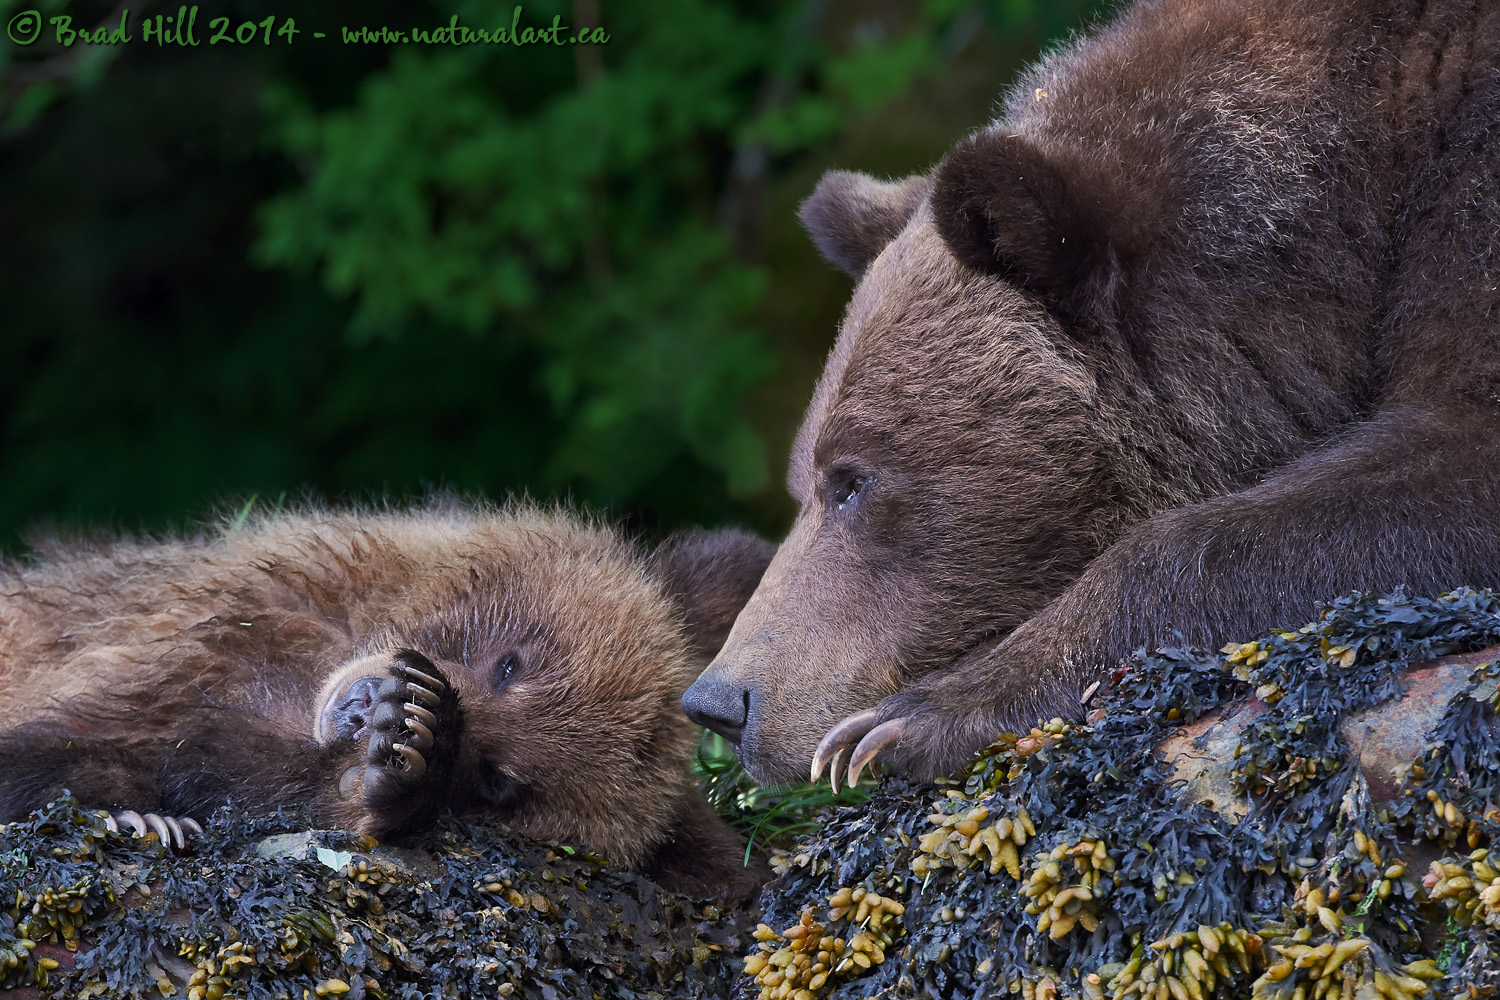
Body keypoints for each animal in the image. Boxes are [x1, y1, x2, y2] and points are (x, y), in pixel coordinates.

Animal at [0, 503, 768, 893]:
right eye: (511, 664)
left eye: (497, 780)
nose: (382, 706)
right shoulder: (210, 631)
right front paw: (139, 812)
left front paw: (397, 773)